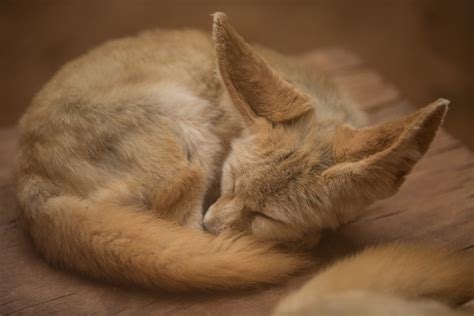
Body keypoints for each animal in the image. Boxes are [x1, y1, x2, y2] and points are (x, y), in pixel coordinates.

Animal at [17, 12, 448, 292]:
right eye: (230, 181)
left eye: (266, 216)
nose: (213, 226)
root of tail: (27, 183)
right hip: (190, 134)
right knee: (177, 231)